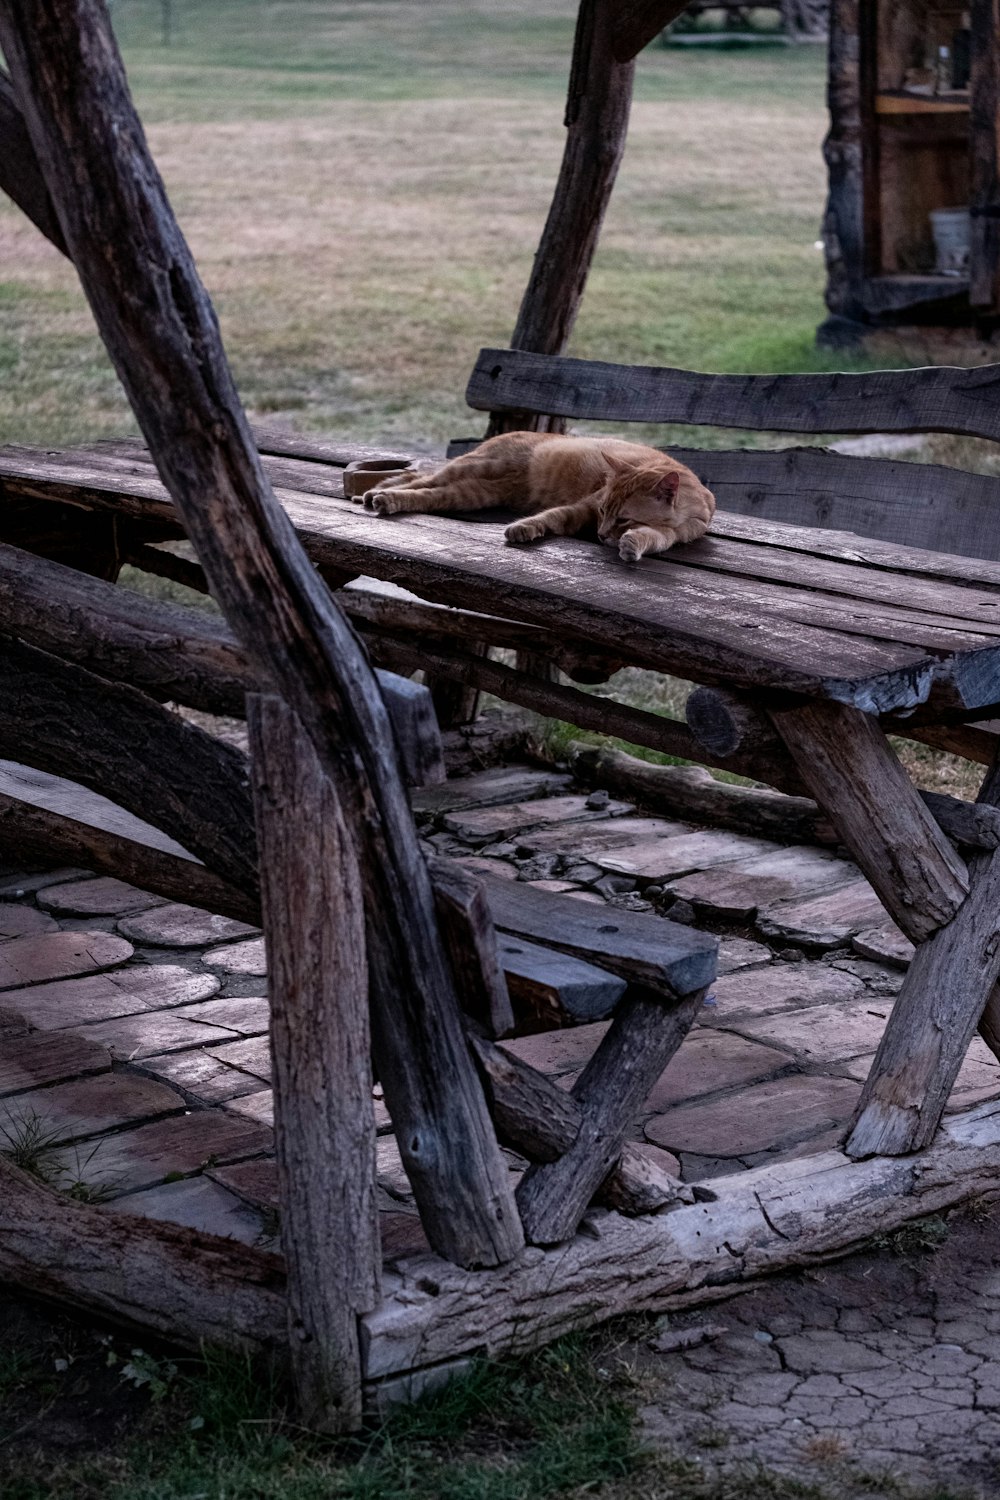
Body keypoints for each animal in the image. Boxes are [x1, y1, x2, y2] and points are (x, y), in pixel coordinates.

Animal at [364, 435, 716, 564]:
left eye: (624, 519)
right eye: (604, 511)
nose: (601, 535)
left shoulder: (674, 534)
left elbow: (653, 538)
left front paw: (631, 544)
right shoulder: (585, 506)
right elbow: (552, 517)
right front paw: (524, 528)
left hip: (472, 493)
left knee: (427, 493)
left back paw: (384, 497)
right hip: (477, 466)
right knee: (422, 478)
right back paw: (377, 494)